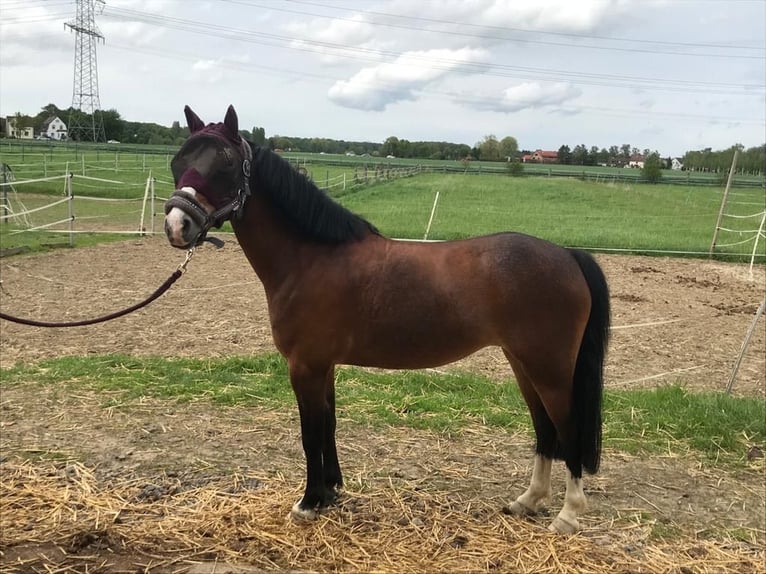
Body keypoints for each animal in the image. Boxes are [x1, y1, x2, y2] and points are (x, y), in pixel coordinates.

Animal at [164, 104, 612, 536]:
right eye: (178, 160)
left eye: (225, 162)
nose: (176, 225)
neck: (311, 258)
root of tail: (567, 255)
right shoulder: (323, 366)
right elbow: (329, 424)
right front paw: (330, 491)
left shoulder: (304, 366)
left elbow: (311, 434)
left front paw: (308, 503)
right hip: (523, 364)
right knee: (545, 429)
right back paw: (528, 501)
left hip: (549, 370)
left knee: (568, 429)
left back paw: (567, 516)